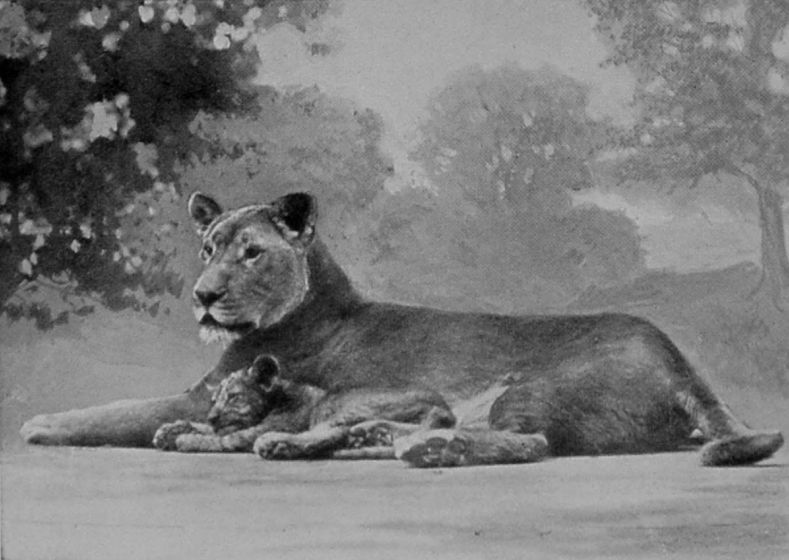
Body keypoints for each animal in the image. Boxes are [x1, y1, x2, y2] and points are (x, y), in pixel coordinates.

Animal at [20, 191, 784, 467]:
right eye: (208, 247)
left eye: (252, 252)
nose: (203, 296)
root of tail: (677, 357)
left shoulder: (203, 393)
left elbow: (120, 409)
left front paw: (41, 422)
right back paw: (378, 445)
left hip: (527, 389)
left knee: (528, 442)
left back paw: (425, 452)